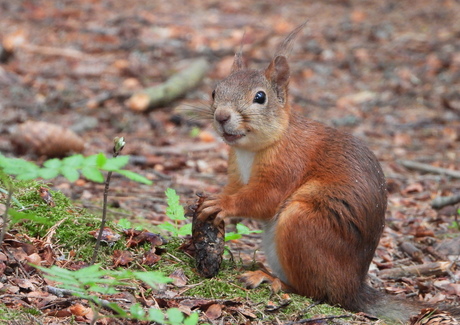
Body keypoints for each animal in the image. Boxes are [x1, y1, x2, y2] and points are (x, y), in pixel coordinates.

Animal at [198, 24, 460, 322]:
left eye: (260, 97)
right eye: (214, 91)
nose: (221, 116)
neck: (251, 150)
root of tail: (352, 288)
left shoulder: (289, 164)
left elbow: (265, 199)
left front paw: (223, 203)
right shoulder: (236, 173)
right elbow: (234, 188)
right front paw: (208, 199)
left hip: (302, 223)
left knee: (315, 291)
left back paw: (269, 279)